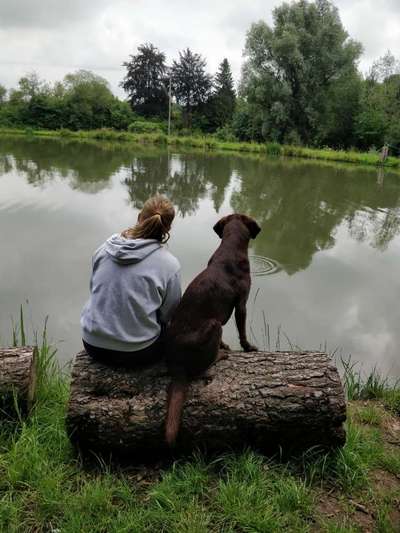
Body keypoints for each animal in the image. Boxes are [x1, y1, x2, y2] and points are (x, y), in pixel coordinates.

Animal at [164, 212, 260, 444]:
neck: (230, 250)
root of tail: (177, 364)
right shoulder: (241, 304)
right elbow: (242, 330)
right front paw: (248, 347)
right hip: (214, 324)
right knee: (202, 368)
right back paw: (220, 355)